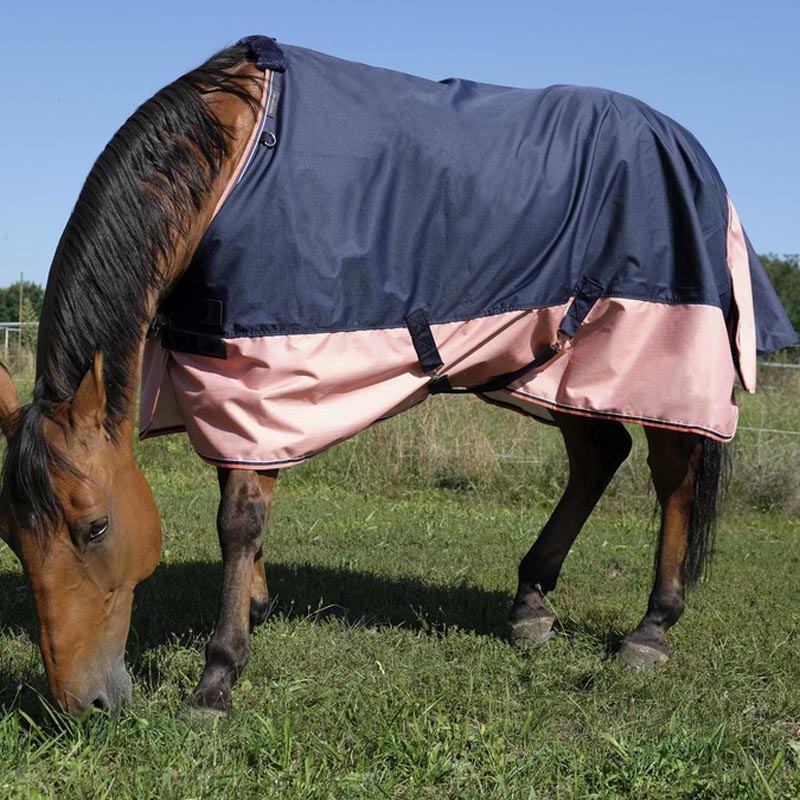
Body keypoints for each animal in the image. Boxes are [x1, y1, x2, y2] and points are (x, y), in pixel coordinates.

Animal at [0, 36, 795, 716]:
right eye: (12, 539)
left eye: (96, 527)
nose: (81, 704)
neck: (236, 164)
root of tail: (686, 145)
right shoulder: (224, 369)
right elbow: (235, 494)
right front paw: (252, 606)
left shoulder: (262, 375)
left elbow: (238, 517)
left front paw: (218, 677)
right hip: (560, 362)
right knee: (602, 454)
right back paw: (530, 605)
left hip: (655, 350)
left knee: (673, 471)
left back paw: (650, 628)